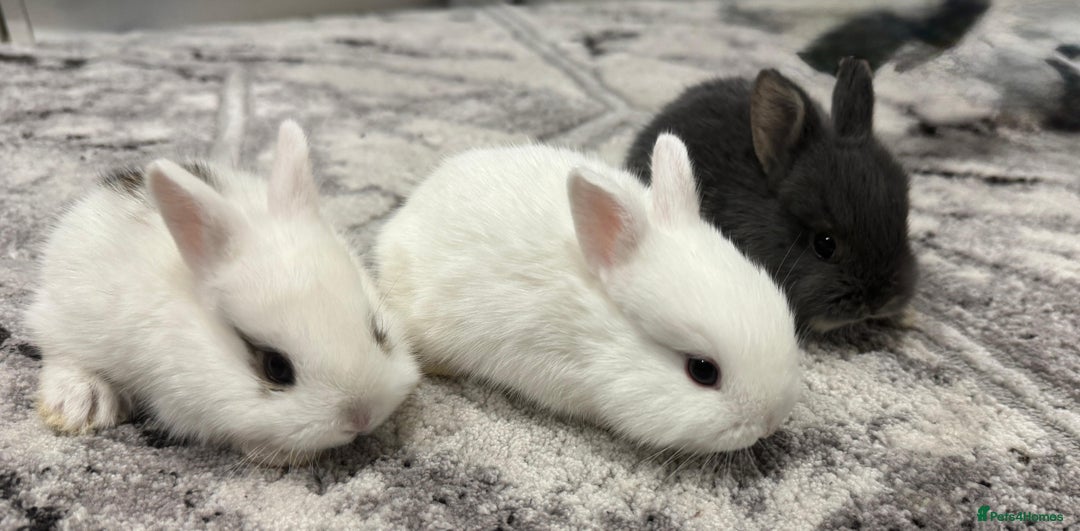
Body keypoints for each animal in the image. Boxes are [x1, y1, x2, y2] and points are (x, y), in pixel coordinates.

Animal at [24, 121, 421, 465]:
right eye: (275, 367)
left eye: (378, 331)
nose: (361, 417)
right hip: (64, 313)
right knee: (59, 349)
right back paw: (79, 404)